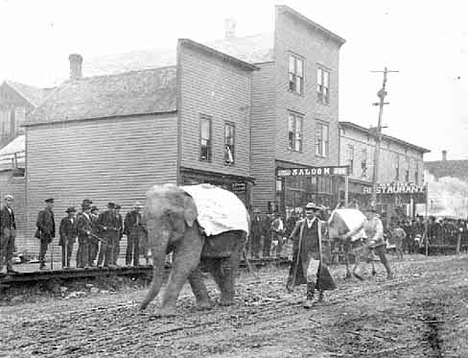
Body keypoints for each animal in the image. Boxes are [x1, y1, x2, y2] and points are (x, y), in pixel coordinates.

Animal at [140, 185, 247, 316]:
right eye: (144, 218)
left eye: (169, 214)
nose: (141, 308)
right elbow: (191, 263)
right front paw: (203, 307)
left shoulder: (192, 226)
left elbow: (185, 261)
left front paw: (162, 314)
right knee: (212, 264)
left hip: (241, 235)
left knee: (231, 262)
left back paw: (226, 303)